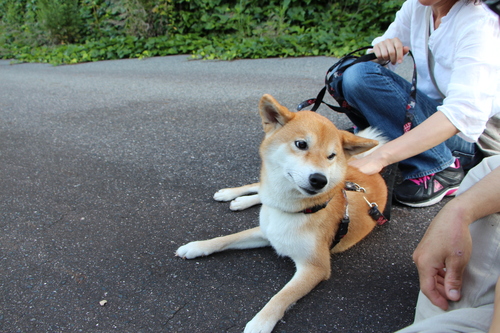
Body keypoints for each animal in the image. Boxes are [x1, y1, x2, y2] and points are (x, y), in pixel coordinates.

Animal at [176, 93, 386, 332]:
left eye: (331, 156)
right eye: (301, 144)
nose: (320, 180)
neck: (293, 210)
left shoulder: (315, 267)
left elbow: (281, 297)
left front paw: (260, 323)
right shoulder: (266, 232)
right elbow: (225, 239)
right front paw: (196, 246)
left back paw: (240, 201)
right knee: (259, 187)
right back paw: (231, 195)